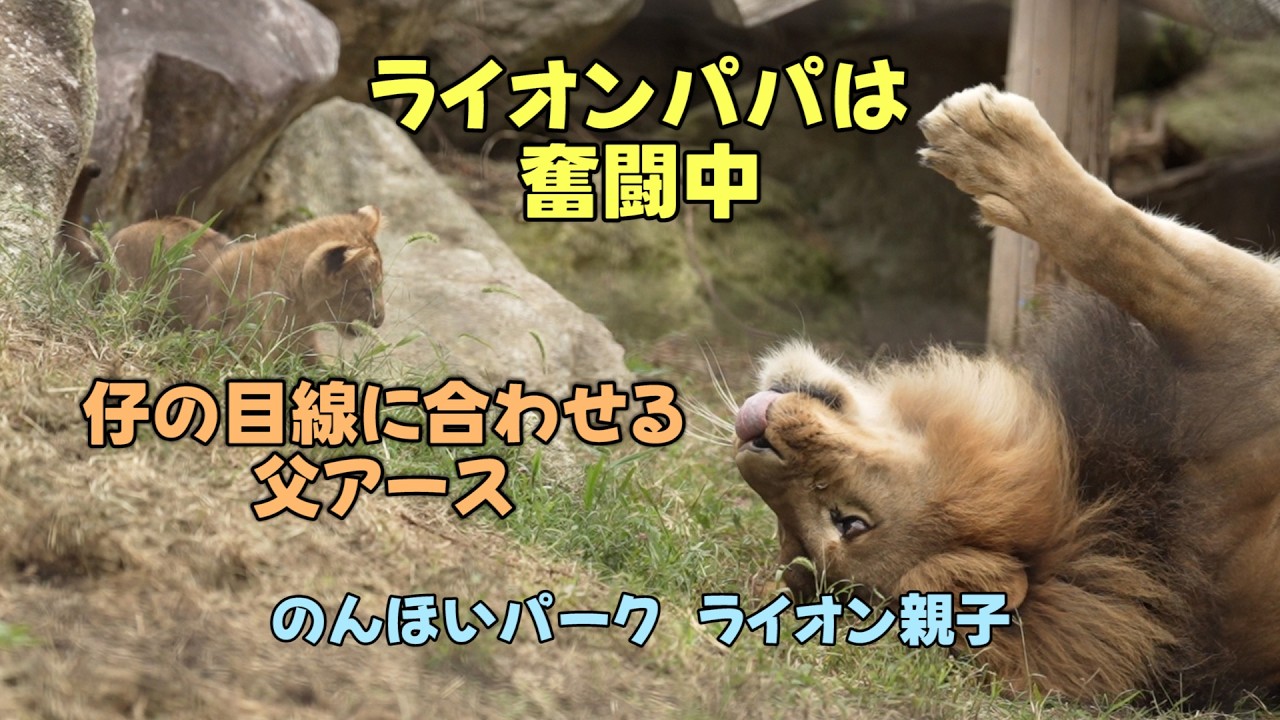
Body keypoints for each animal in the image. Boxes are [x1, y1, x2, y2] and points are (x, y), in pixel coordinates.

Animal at [59, 167, 386, 362]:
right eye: (367, 292)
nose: (380, 320)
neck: (300, 307)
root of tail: (110, 245)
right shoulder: (220, 345)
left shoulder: (302, 351)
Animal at [734, 85, 1280, 705]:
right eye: (799, 533)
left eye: (848, 523)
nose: (751, 442)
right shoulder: (1249, 334)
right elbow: (1136, 254)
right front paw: (996, 146)